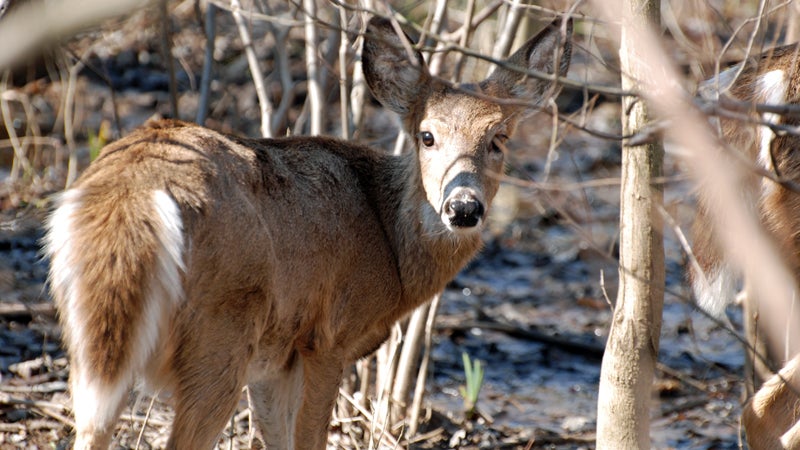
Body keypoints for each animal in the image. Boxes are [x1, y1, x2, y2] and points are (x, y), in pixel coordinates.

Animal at [43, 15, 572, 448]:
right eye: (427, 135)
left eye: (498, 139)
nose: (463, 207)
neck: (390, 249)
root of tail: (132, 189)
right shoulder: (328, 337)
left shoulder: (275, 358)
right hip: (219, 332)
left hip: (91, 334)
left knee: (89, 428)